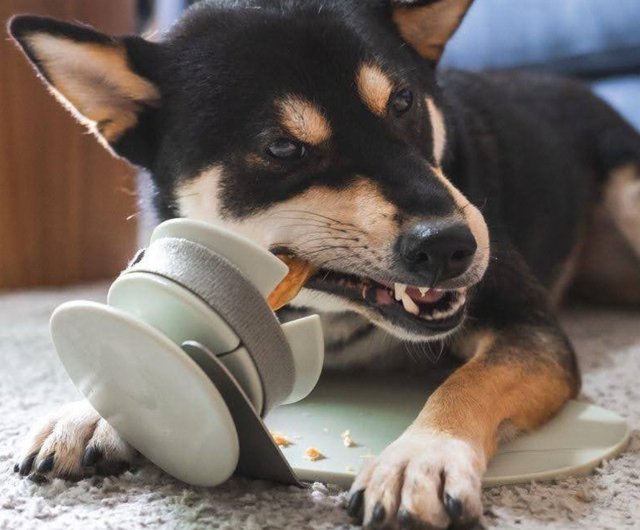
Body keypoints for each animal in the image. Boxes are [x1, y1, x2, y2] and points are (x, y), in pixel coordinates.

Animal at [7, 0, 640, 524]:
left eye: (403, 103)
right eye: (283, 148)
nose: (451, 245)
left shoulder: (527, 327)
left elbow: (466, 382)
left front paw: (422, 456)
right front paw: (90, 410)